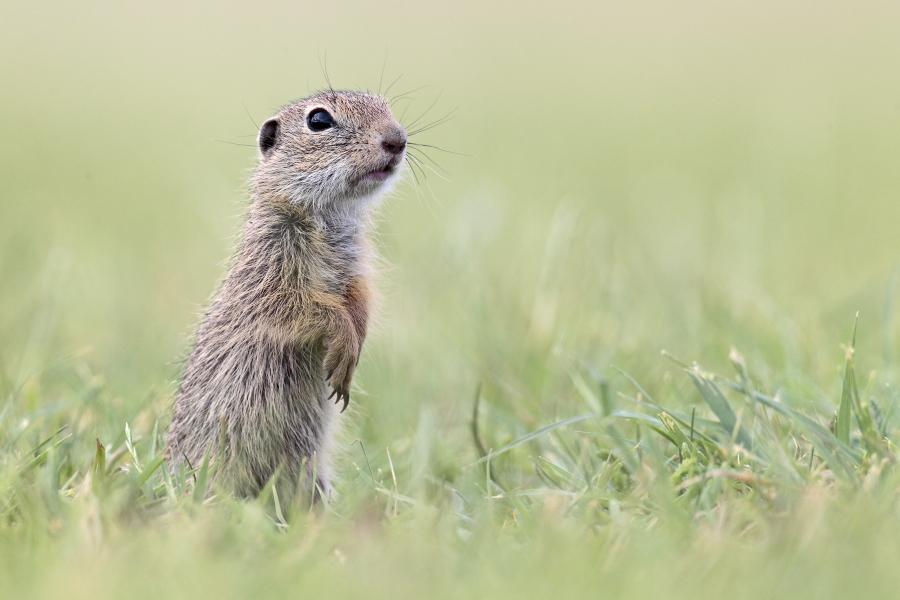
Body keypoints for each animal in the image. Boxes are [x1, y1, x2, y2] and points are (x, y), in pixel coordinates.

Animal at [167, 90, 407, 501]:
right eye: (319, 121)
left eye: (385, 106)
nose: (397, 140)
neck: (328, 217)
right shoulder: (272, 272)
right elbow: (304, 309)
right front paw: (344, 342)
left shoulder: (356, 268)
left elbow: (360, 300)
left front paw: (354, 345)